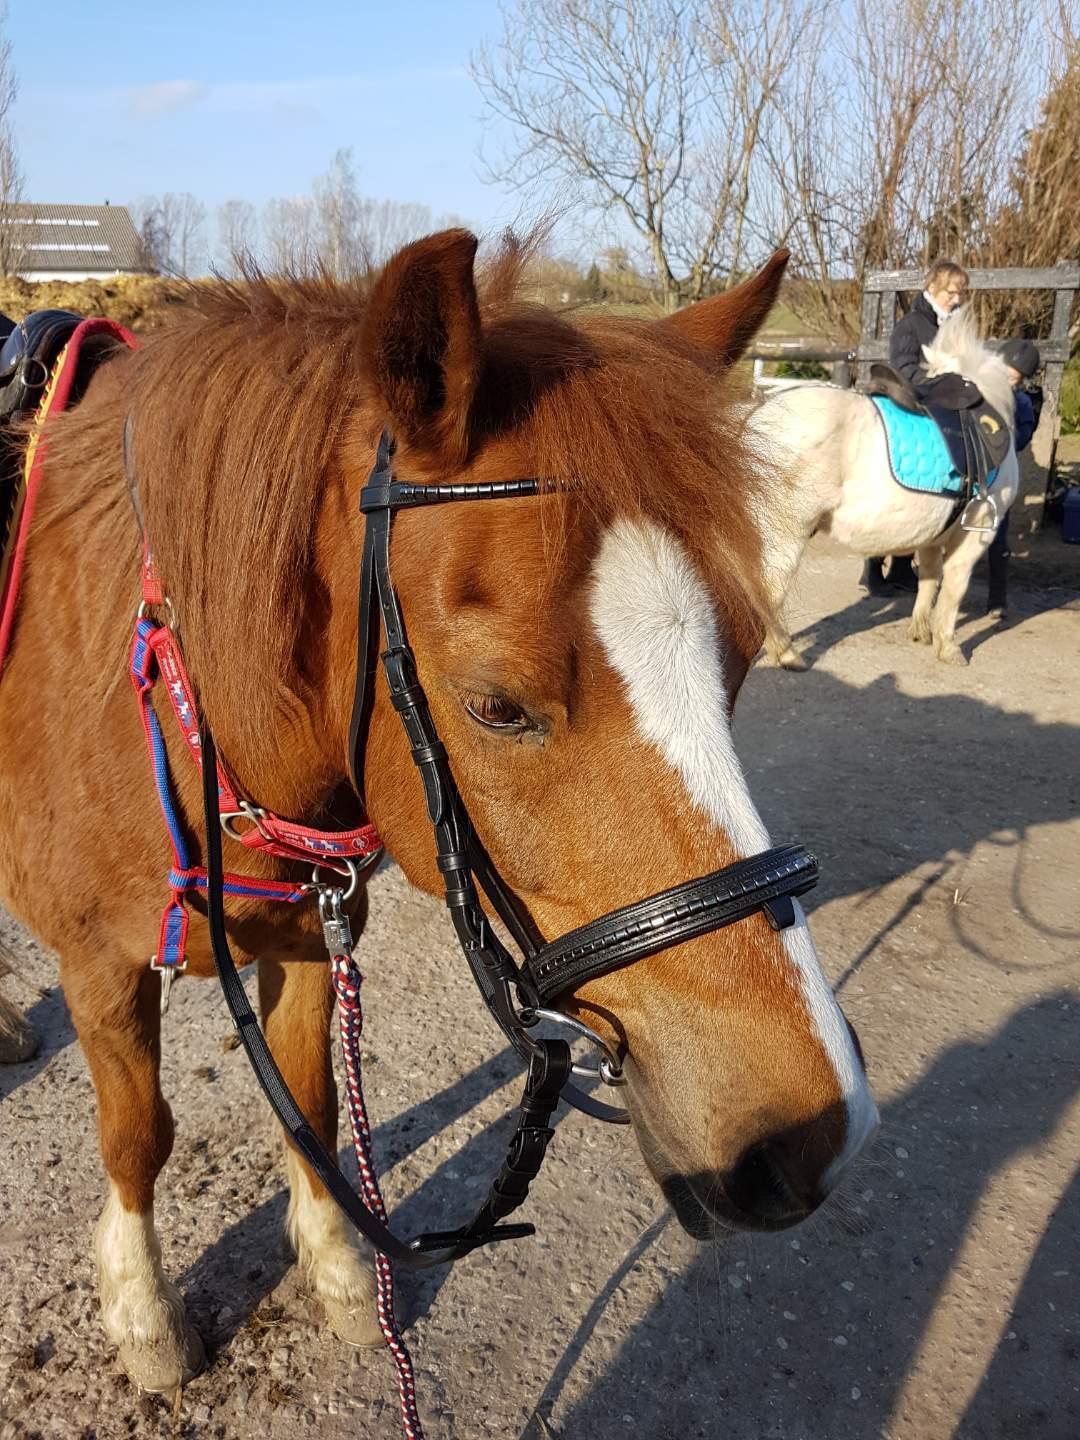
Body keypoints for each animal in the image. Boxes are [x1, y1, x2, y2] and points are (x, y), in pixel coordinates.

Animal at [0, 230, 876, 1397]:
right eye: (496, 705)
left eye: (738, 661)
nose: (812, 1134)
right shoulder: (99, 966)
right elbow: (138, 1133)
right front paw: (144, 1314)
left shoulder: (314, 933)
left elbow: (315, 1101)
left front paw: (338, 1271)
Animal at [747, 308, 1019, 668]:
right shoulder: (975, 534)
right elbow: (953, 587)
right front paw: (948, 646)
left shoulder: (934, 532)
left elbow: (930, 577)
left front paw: (921, 630)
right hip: (784, 534)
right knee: (767, 590)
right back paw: (787, 652)